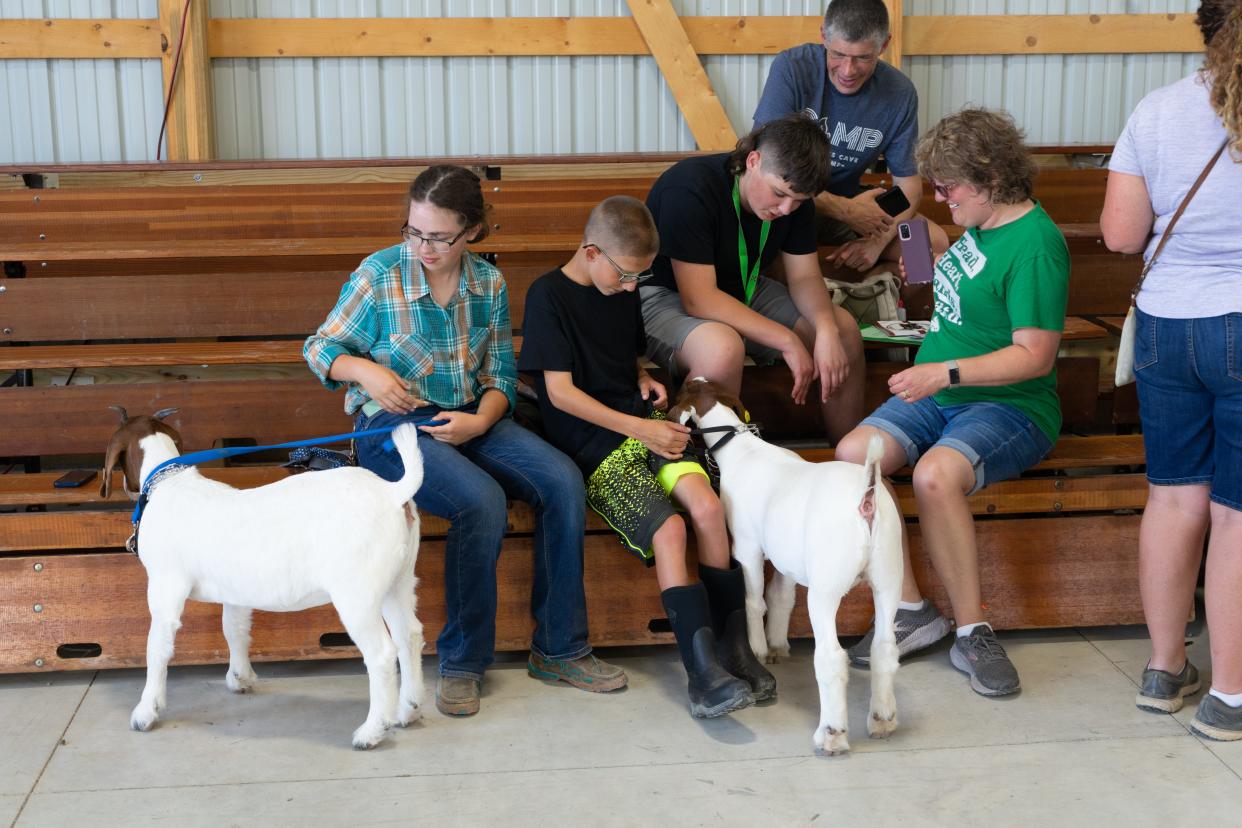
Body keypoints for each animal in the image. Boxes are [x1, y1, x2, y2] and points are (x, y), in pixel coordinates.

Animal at [99, 407, 427, 749]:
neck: (169, 484)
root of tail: (392, 492)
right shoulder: (235, 593)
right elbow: (234, 629)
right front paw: (240, 677)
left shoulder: (165, 586)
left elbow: (157, 647)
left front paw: (146, 711)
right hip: (398, 582)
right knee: (409, 635)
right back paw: (409, 710)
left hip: (357, 593)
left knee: (382, 653)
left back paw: (372, 731)